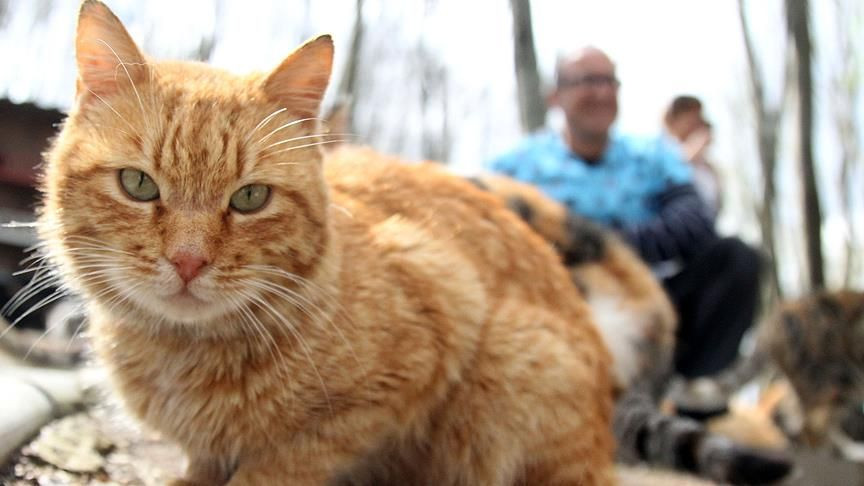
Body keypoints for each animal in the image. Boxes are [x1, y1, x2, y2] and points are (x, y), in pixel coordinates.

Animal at [37, 1, 616, 484]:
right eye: (138, 184)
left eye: (250, 197)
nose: (188, 260)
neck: (181, 353)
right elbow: (203, 463)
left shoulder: (431, 322)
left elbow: (278, 465)